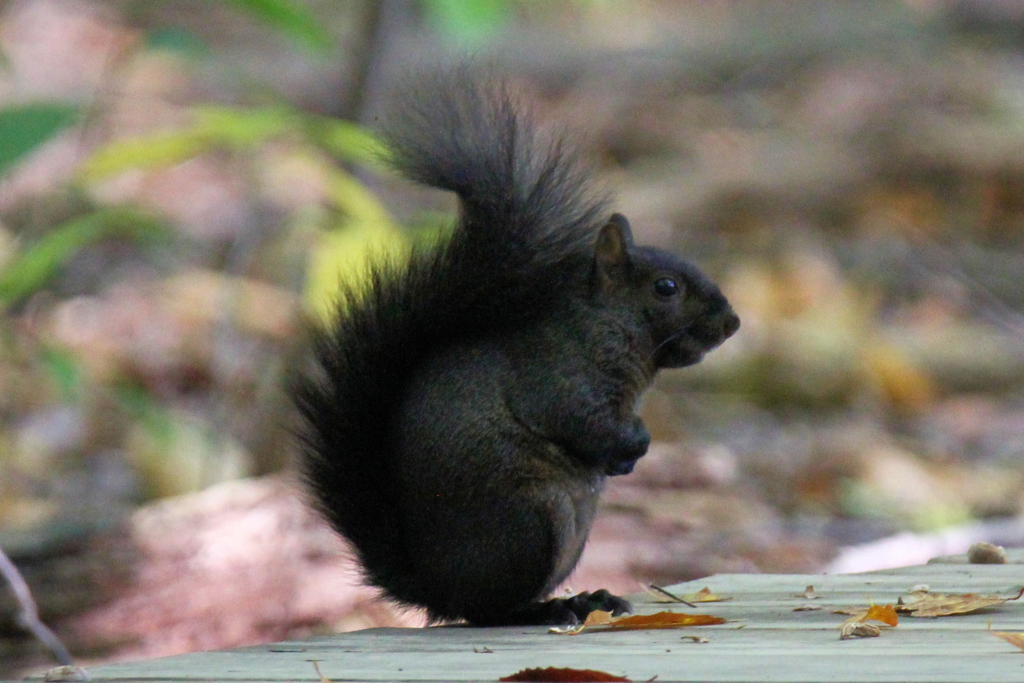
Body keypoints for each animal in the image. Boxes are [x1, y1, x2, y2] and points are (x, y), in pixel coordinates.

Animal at [293, 70, 740, 626]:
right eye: (666, 288)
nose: (732, 323)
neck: (605, 326)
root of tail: (438, 588)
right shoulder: (558, 379)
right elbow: (582, 420)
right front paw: (633, 443)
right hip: (533, 519)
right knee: (490, 609)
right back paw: (552, 608)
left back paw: (588, 599)